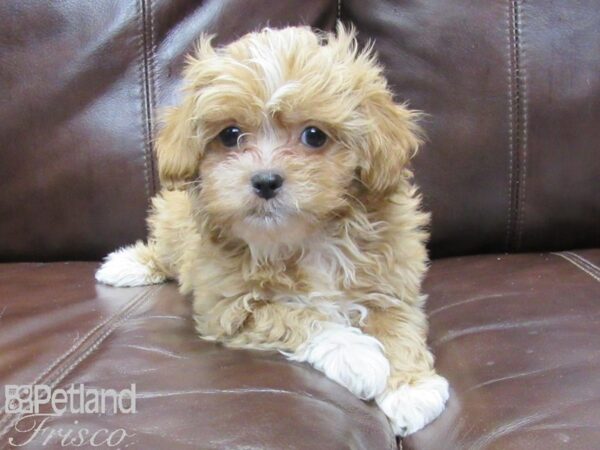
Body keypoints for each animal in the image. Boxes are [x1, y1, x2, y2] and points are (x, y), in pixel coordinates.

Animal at [96, 24, 448, 436]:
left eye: (314, 135)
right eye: (230, 134)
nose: (265, 181)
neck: (308, 238)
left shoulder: (391, 283)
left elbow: (398, 325)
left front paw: (411, 388)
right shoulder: (229, 307)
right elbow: (296, 316)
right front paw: (357, 356)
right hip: (173, 220)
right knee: (166, 252)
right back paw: (126, 265)